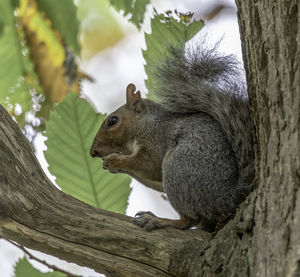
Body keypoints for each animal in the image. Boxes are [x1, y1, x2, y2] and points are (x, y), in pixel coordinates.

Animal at [89, 44, 255, 231]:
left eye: (112, 121)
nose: (93, 152)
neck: (146, 123)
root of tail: (226, 197)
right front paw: (112, 165)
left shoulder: (156, 139)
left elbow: (149, 164)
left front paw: (114, 160)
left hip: (177, 167)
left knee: (189, 220)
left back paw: (159, 220)